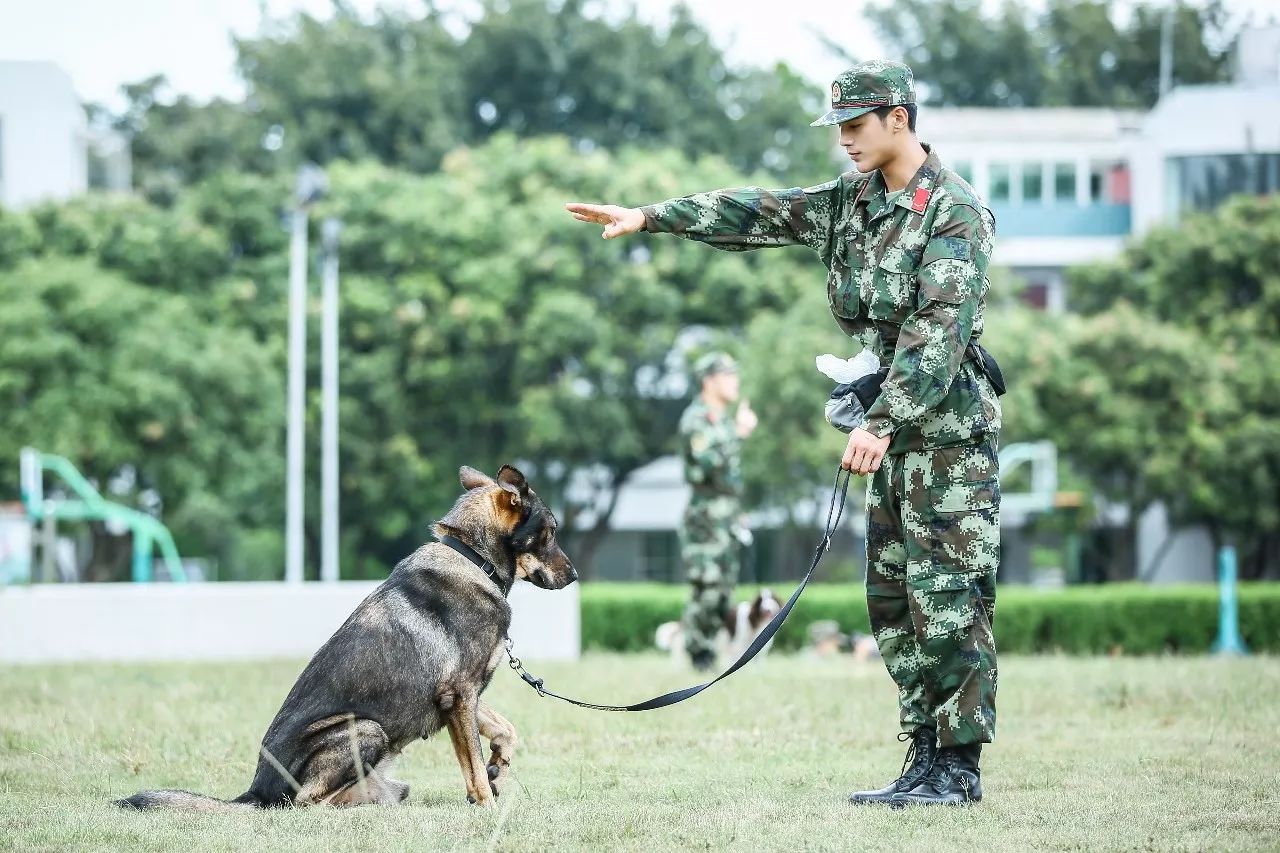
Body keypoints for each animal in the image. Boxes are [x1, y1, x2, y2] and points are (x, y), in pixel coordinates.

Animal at [115, 466, 576, 809]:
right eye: (552, 531)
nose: (574, 576)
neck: (473, 557)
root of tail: (255, 792)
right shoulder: (459, 694)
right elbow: (475, 770)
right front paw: (489, 802)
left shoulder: (460, 697)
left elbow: (503, 730)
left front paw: (500, 761)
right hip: (366, 729)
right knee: (307, 802)